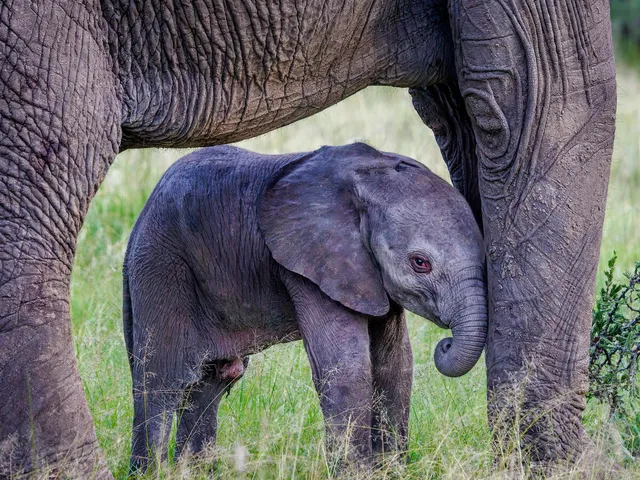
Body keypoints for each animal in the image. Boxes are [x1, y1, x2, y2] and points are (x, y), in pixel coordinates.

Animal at [124, 143, 486, 470]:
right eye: (420, 263)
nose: (445, 344)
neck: (370, 179)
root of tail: (137, 225)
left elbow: (395, 366)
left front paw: (393, 471)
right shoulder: (312, 265)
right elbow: (345, 368)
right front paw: (359, 474)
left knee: (209, 386)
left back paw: (194, 471)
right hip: (161, 269)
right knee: (161, 383)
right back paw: (150, 472)